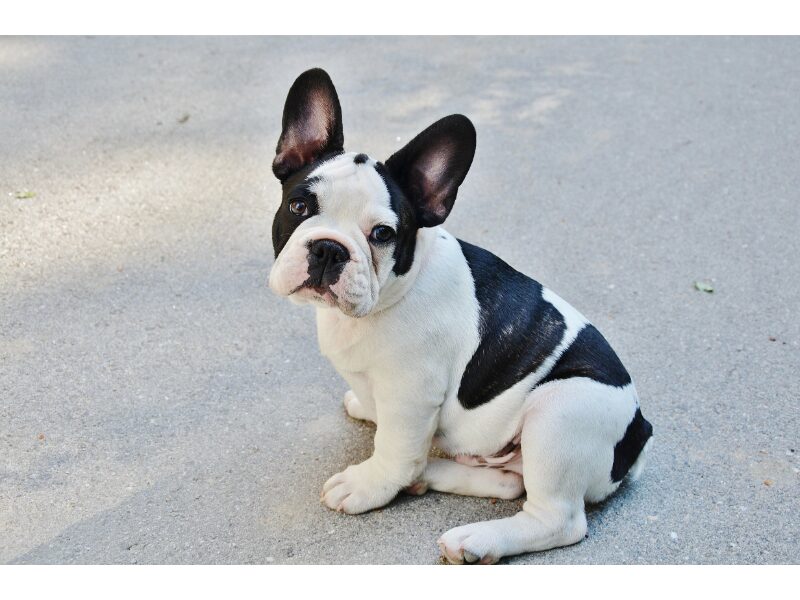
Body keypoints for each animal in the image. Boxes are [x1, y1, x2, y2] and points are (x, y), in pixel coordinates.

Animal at [268, 68, 656, 564]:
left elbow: (394, 447)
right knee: (509, 483)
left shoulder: (411, 394)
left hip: (561, 410)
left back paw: (475, 539)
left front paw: (368, 484)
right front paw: (366, 409)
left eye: (383, 234)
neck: (392, 292)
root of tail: (639, 430)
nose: (329, 249)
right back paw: (430, 476)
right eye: (299, 207)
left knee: (558, 519)